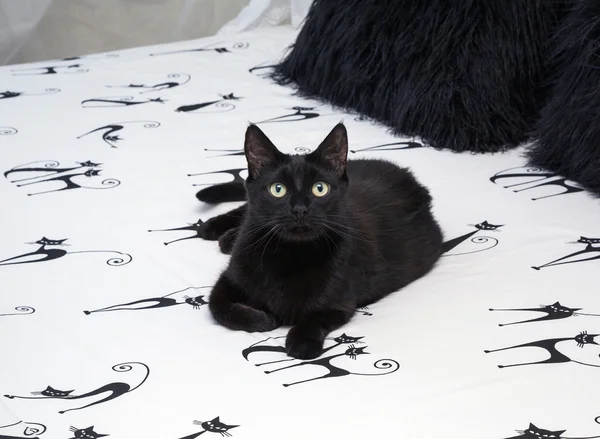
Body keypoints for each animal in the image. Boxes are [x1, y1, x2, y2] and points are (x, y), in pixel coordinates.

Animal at [5, 362, 150, 414]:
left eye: (55, 392)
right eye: (48, 390)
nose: (50, 393)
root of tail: (127, 387)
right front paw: (10, 396)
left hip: (110, 395)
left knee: (89, 404)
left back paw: (65, 411)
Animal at [195, 124, 442, 360]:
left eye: (320, 189)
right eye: (278, 189)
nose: (300, 209)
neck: (289, 256)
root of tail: (413, 180)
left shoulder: (339, 302)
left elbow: (315, 317)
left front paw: (302, 342)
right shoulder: (229, 279)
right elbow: (217, 306)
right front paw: (264, 320)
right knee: (245, 209)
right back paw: (217, 230)